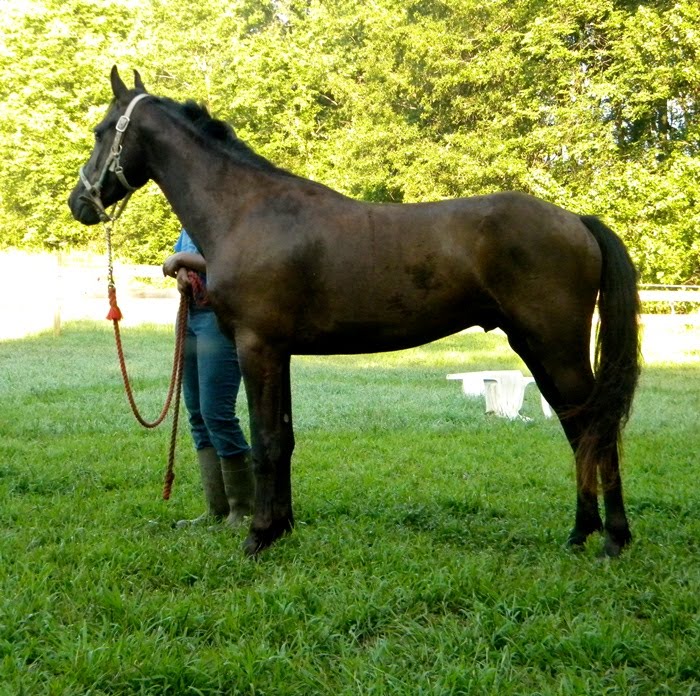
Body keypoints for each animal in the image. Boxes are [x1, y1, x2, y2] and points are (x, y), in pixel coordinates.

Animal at [68, 67, 641, 557]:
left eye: (100, 132)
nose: (80, 202)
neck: (247, 211)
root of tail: (577, 221)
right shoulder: (280, 353)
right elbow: (285, 438)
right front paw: (281, 527)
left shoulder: (257, 346)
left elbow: (266, 441)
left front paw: (257, 537)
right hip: (536, 348)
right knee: (579, 429)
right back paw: (581, 533)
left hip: (555, 348)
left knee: (596, 428)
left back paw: (613, 538)